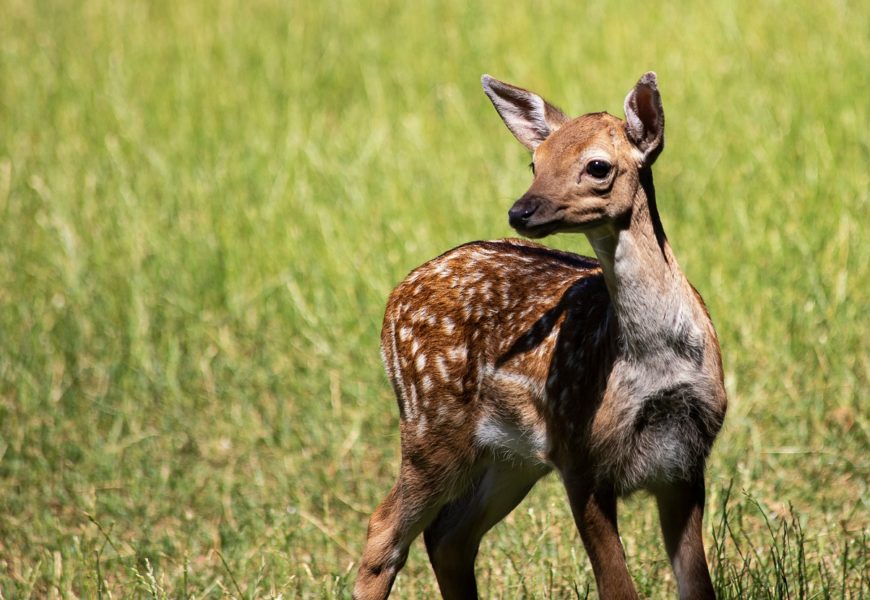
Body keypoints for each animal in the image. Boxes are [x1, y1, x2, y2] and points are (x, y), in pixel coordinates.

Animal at [354, 72, 728, 596]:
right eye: (535, 161)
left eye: (597, 165)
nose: (521, 210)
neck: (654, 364)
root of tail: (394, 295)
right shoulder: (579, 453)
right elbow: (618, 589)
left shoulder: (686, 458)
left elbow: (697, 586)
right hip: (431, 426)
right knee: (385, 528)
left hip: (510, 457)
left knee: (449, 536)